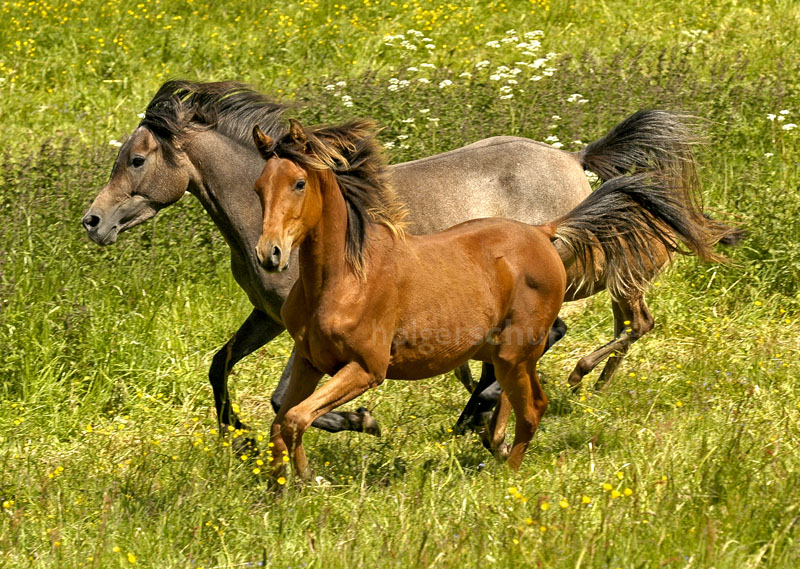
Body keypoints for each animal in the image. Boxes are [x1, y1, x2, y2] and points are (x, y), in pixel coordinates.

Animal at [252, 120, 724, 474]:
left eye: (298, 183)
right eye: (259, 187)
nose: (269, 254)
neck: (345, 279)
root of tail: (544, 231)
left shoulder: (366, 369)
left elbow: (294, 418)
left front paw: (308, 478)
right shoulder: (311, 361)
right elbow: (282, 420)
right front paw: (281, 490)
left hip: (519, 346)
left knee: (536, 402)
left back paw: (510, 458)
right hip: (505, 349)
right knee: (519, 395)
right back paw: (495, 441)